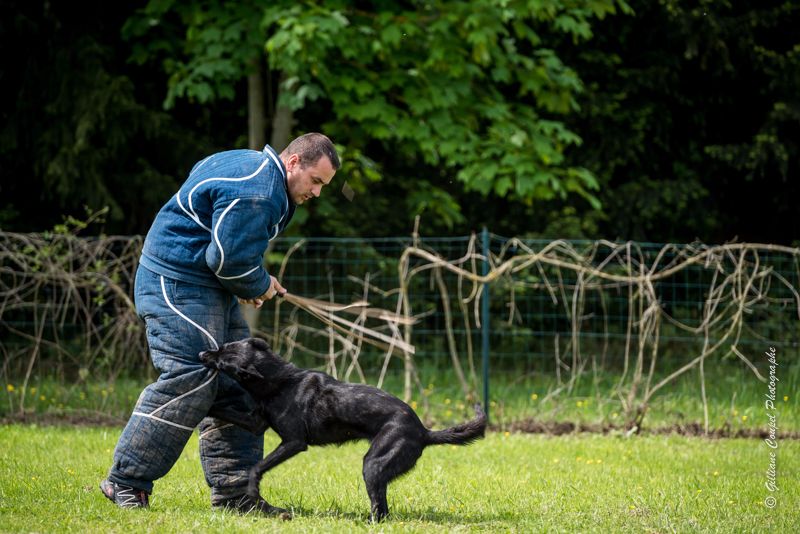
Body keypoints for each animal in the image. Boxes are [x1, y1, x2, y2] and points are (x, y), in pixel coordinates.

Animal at [200, 340, 488, 524]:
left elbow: (256, 468)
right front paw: (206, 406)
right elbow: (224, 411)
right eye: (221, 347)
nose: (202, 354)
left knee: (380, 511)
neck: (279, 381)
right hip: (378, 469)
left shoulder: (293, 442)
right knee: (383, 509)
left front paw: (253, 490)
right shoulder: (256, 423)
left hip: (373, 463)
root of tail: (424, 431)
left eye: (222, 360)